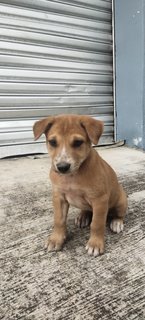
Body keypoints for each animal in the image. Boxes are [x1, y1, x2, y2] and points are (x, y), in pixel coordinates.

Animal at [32, 114, 127, 256]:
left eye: (77, 142)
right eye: (52, 142)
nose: (62, 167)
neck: (72, 176)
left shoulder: (99, 200)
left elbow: (97, 223)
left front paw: (95, 243)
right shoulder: (59, 197)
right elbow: (59, 220)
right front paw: (56, 239)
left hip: (121, 201)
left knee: (118, 214)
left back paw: (116, 222)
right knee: (86, 209)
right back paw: (83, 216)